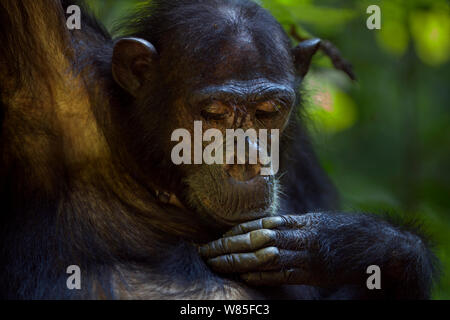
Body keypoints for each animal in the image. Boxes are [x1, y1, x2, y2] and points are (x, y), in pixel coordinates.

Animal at [0, 0, 436, 300]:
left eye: (267, 111)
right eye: (213, 113)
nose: (246, 160)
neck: (149, 166)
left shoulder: (302, 163)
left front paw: (346, 242)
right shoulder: (52, 83)